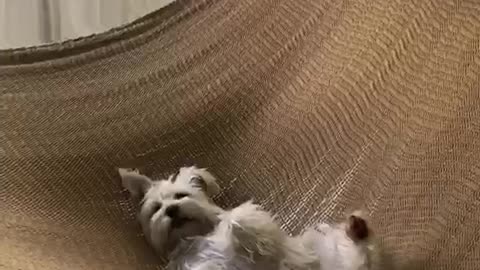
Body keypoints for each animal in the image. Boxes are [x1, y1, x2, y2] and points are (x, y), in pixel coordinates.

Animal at [119, 166, 382, 268]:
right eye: (156, 208)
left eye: (181, 195)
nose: (171, 210)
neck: (196, 238)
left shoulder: (279, 251)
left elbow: (239, 219)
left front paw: (232, 220)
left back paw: (357, 229)